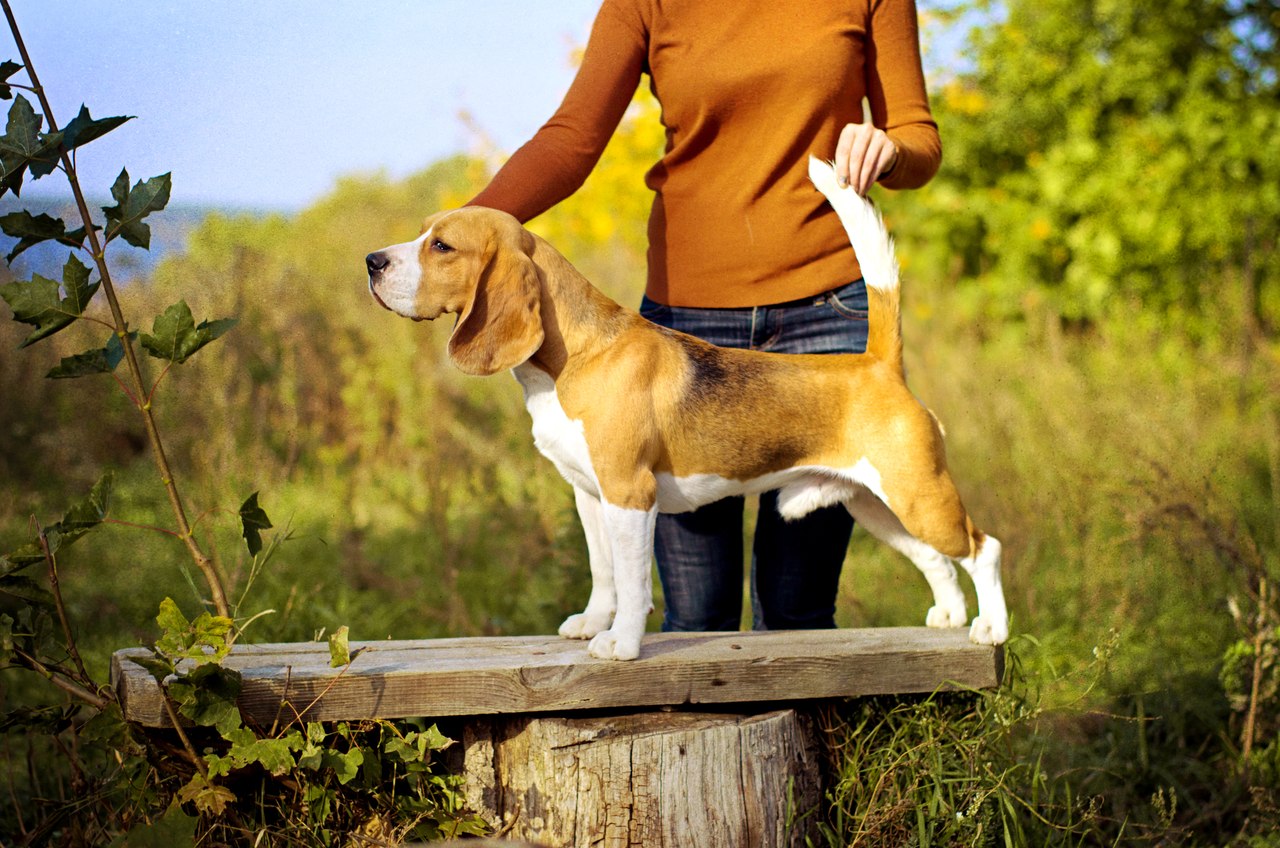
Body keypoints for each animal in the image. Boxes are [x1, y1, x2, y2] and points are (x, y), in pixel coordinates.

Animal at [366, 159, 1003, 666]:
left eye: (441, 246)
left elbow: (632, 582)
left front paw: (621, 644)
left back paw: (991, 630)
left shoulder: (630, 493)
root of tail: (877, 364)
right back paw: (949, 615)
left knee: (984, 548)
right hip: (879, 506)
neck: (579, 355)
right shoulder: (590, 494)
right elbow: (604, 573)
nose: (372, 261)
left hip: (919, 495)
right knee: (938, 559)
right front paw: (592, 624)